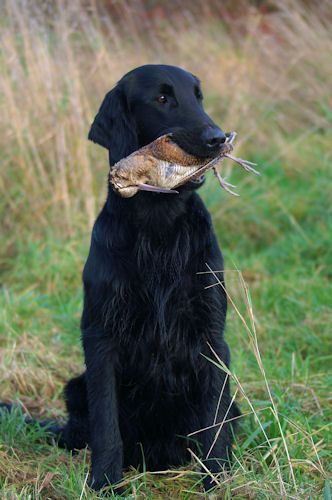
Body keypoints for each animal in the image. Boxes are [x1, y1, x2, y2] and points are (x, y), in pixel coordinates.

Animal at [3, 64, 240, 490]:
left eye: (198, 97)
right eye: (162, 98)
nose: (217, 138)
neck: (158, 227)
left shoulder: (212, 333)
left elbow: (213, 415)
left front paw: (217, 475)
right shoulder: (100, 335)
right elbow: (106, 420)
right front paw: (105, 481)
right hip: (75, 386)